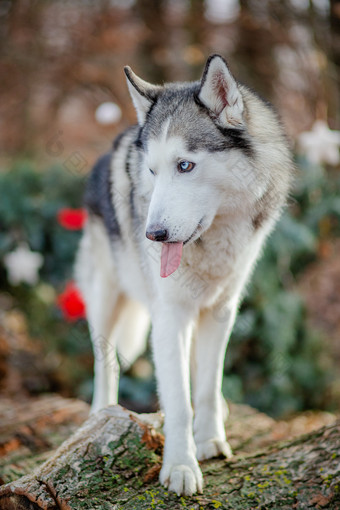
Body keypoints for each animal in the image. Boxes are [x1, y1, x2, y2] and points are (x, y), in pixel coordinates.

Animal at [75, 54, 294, 494]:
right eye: (152, 171)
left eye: (185, 166)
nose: (152, 235)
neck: (214, 242)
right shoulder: (168, 317)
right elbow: (177, 401)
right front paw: (179, 466)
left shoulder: (221, 311)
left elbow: (206, 386)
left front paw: (210, 441)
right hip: (105, 298)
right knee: (105, 363)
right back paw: (101, 415)